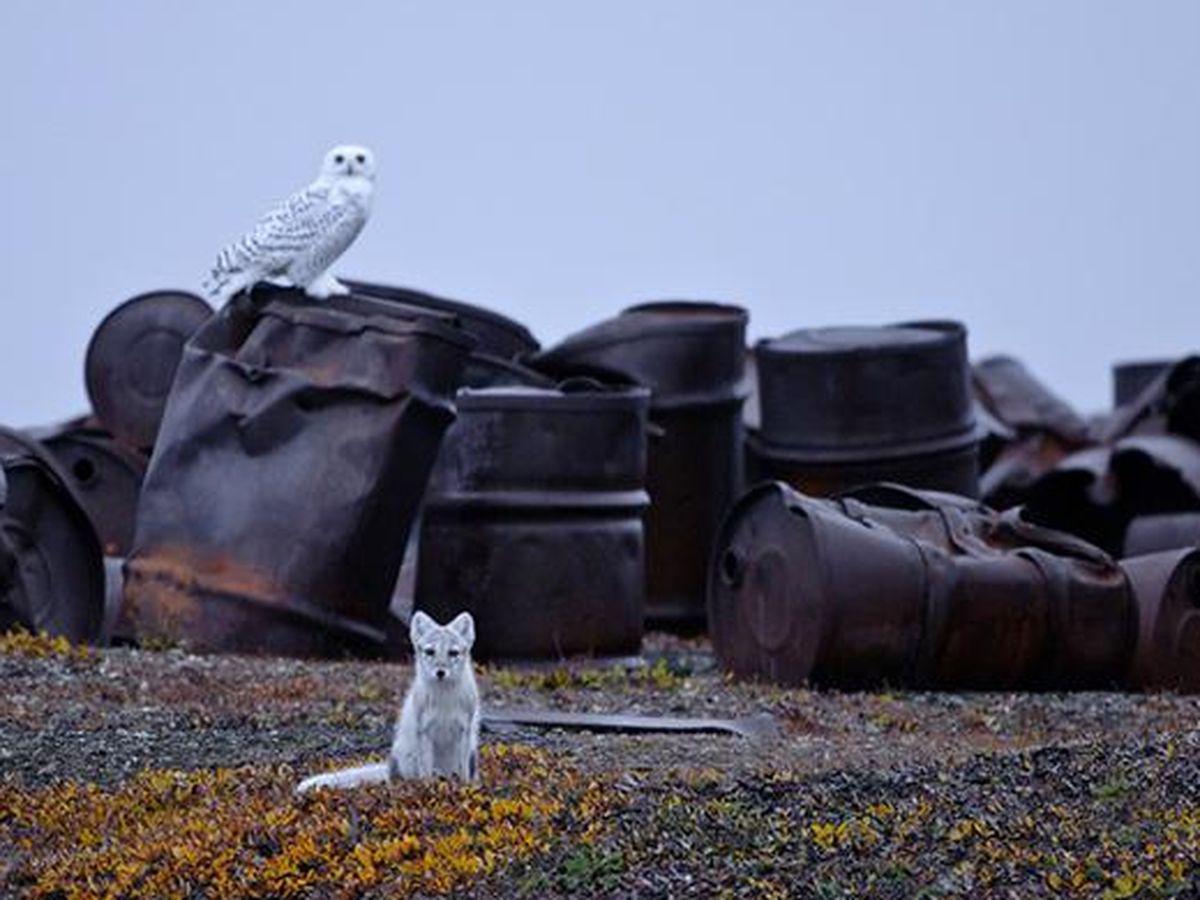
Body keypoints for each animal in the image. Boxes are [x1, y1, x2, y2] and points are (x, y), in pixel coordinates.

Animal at [295, 609, 477, 792]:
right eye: (430, 652)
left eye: (453, 653)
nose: (440, 672)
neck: (444, 701)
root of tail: (390, 768)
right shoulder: (424, 730)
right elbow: (425, 770)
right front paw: (428, 786)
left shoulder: (464, 730)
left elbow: (463, 771)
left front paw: (464, 786)